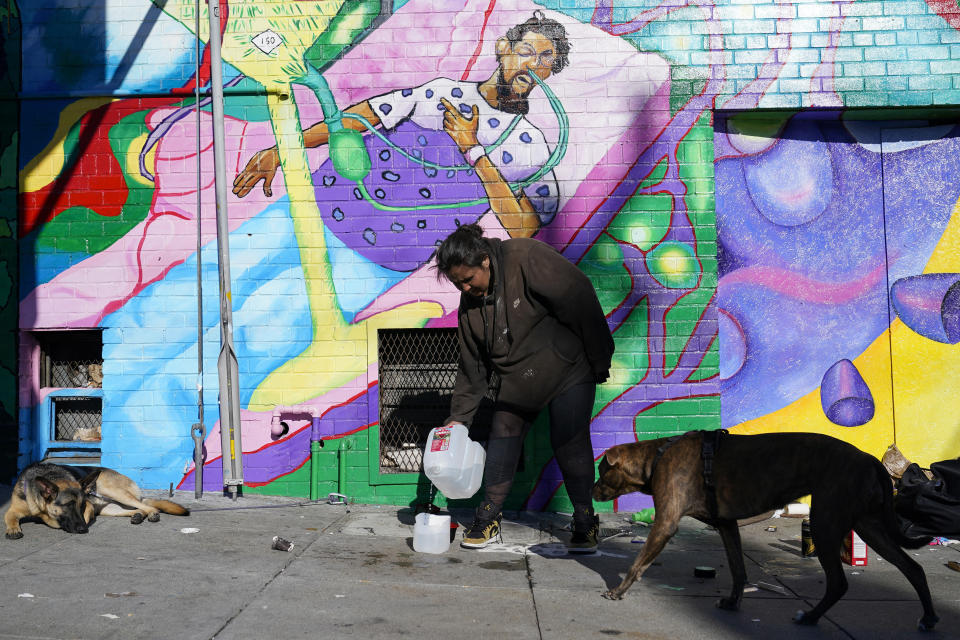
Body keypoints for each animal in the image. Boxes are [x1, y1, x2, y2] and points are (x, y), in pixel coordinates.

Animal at [592, 430, 936, 632]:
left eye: (601, 470)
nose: (592, 489)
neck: (656, 457)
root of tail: (871, 461)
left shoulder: (665, 523)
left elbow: (638, 563)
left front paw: (618, 590)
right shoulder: (727, 524)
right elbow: (738, 569)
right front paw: (733, 603)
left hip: (826, 522)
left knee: (839, 583)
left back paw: (810, 618)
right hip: (869, 525)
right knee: (914, 568)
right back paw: (929, 618)